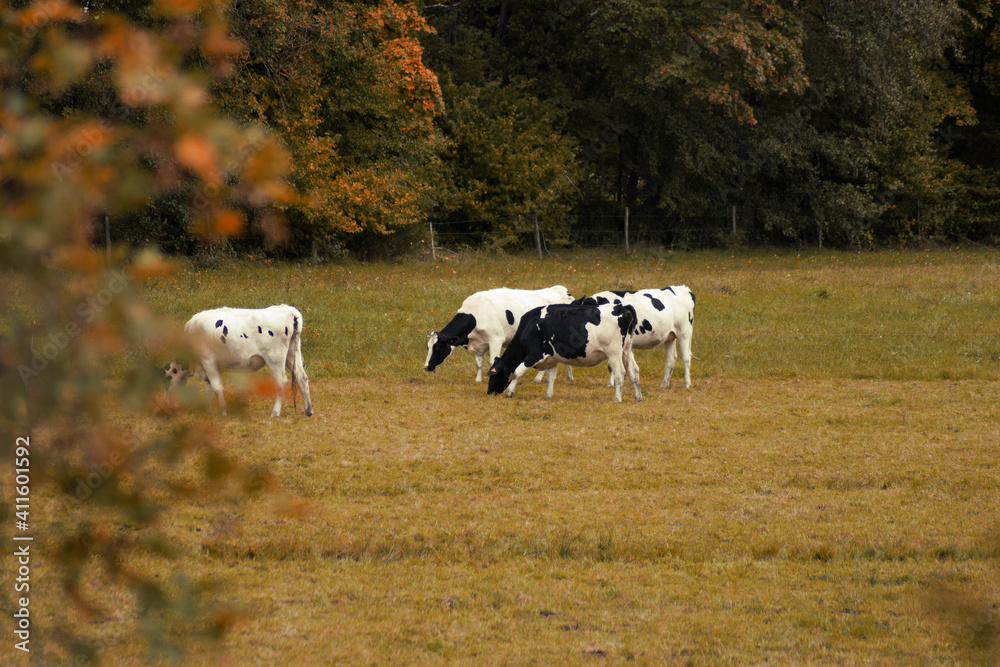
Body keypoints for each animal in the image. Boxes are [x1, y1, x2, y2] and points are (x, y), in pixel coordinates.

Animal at [165, 304, 313, 417]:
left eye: (167, 382)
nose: (167, 402)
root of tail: (288, 310)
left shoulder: (208, 361)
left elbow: (217, 387)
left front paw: (223, 411)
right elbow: (210, 387)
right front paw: (207, 409)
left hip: (275, 358)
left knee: (281, 382)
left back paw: (275, 413)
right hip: (293, 353)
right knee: (302, 378)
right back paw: (308, 411)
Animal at [424, 286, 576, 383]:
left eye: (437, 347)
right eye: (428, 347)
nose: (426, 367)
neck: (476, 312)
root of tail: (563, 290)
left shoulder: (496, 339)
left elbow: (492, 361)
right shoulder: (479, 344)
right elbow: (479, 363)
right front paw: (478, 380)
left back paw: (538, 379)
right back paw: (569, 378)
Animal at [487, 303, 642, 403]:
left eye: (492, 375)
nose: (489, 392)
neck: (530, 326)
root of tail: (623, 308)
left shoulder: (533, 355)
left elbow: (517, 372)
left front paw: (510, 392)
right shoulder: (552, 359)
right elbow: (550, 377)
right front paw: (548, 395)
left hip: (614, 352)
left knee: (620, 373)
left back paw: (617, 398)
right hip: (627, 350)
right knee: (633, 371)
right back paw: (638, 397)